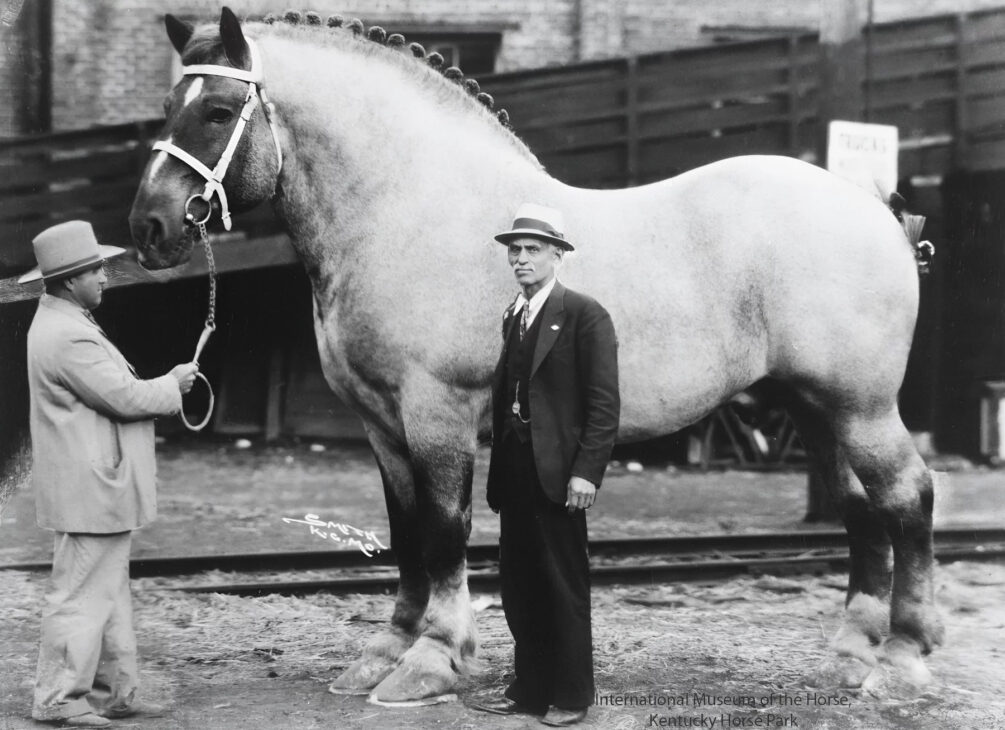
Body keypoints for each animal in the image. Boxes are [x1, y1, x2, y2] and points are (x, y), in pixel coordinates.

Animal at [128, 8, 942, 704]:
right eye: (169, 105)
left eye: (217, 111)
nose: (151, 227)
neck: (409, 208)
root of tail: (874, 208)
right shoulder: (381, 425)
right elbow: (404, 532)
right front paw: (386, 651)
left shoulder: (437, 413)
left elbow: (443, 531)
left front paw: (432, 660)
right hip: (814, 407)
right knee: (859, 509)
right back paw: (850, 653)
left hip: (860, 407)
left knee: (906, 497)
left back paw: (903, 659)